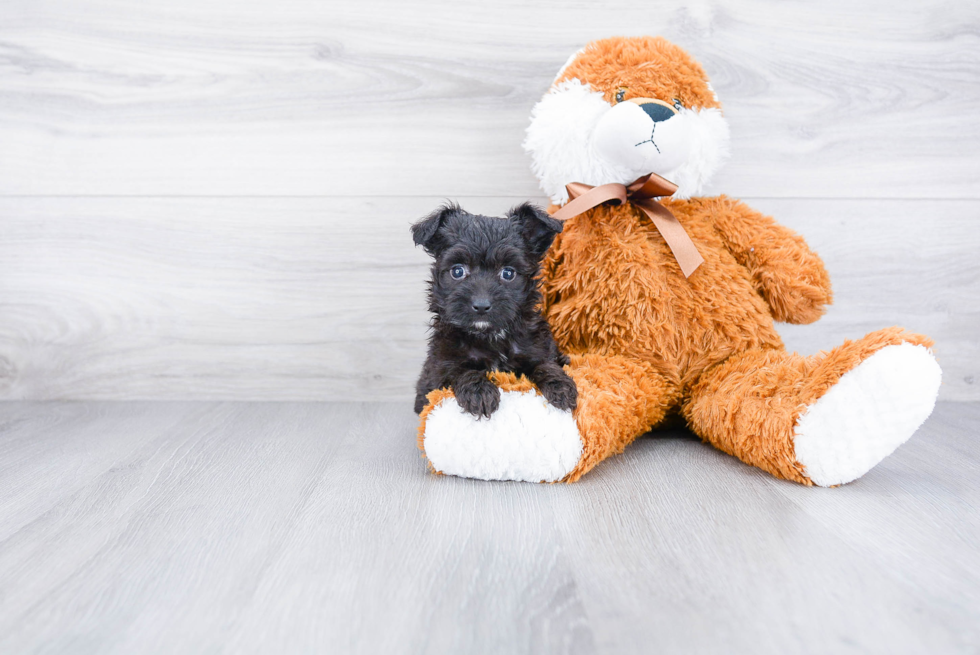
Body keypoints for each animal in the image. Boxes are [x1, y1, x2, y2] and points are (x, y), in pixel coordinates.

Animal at [412, 201, 580, 420]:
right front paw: (480, 393)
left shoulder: (535, 345)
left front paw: (560, 386)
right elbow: (460, 371)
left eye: (508, 273)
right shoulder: (440, 366)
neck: (490, 336)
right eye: (457, 271)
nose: (481, 305)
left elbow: (545, 364)